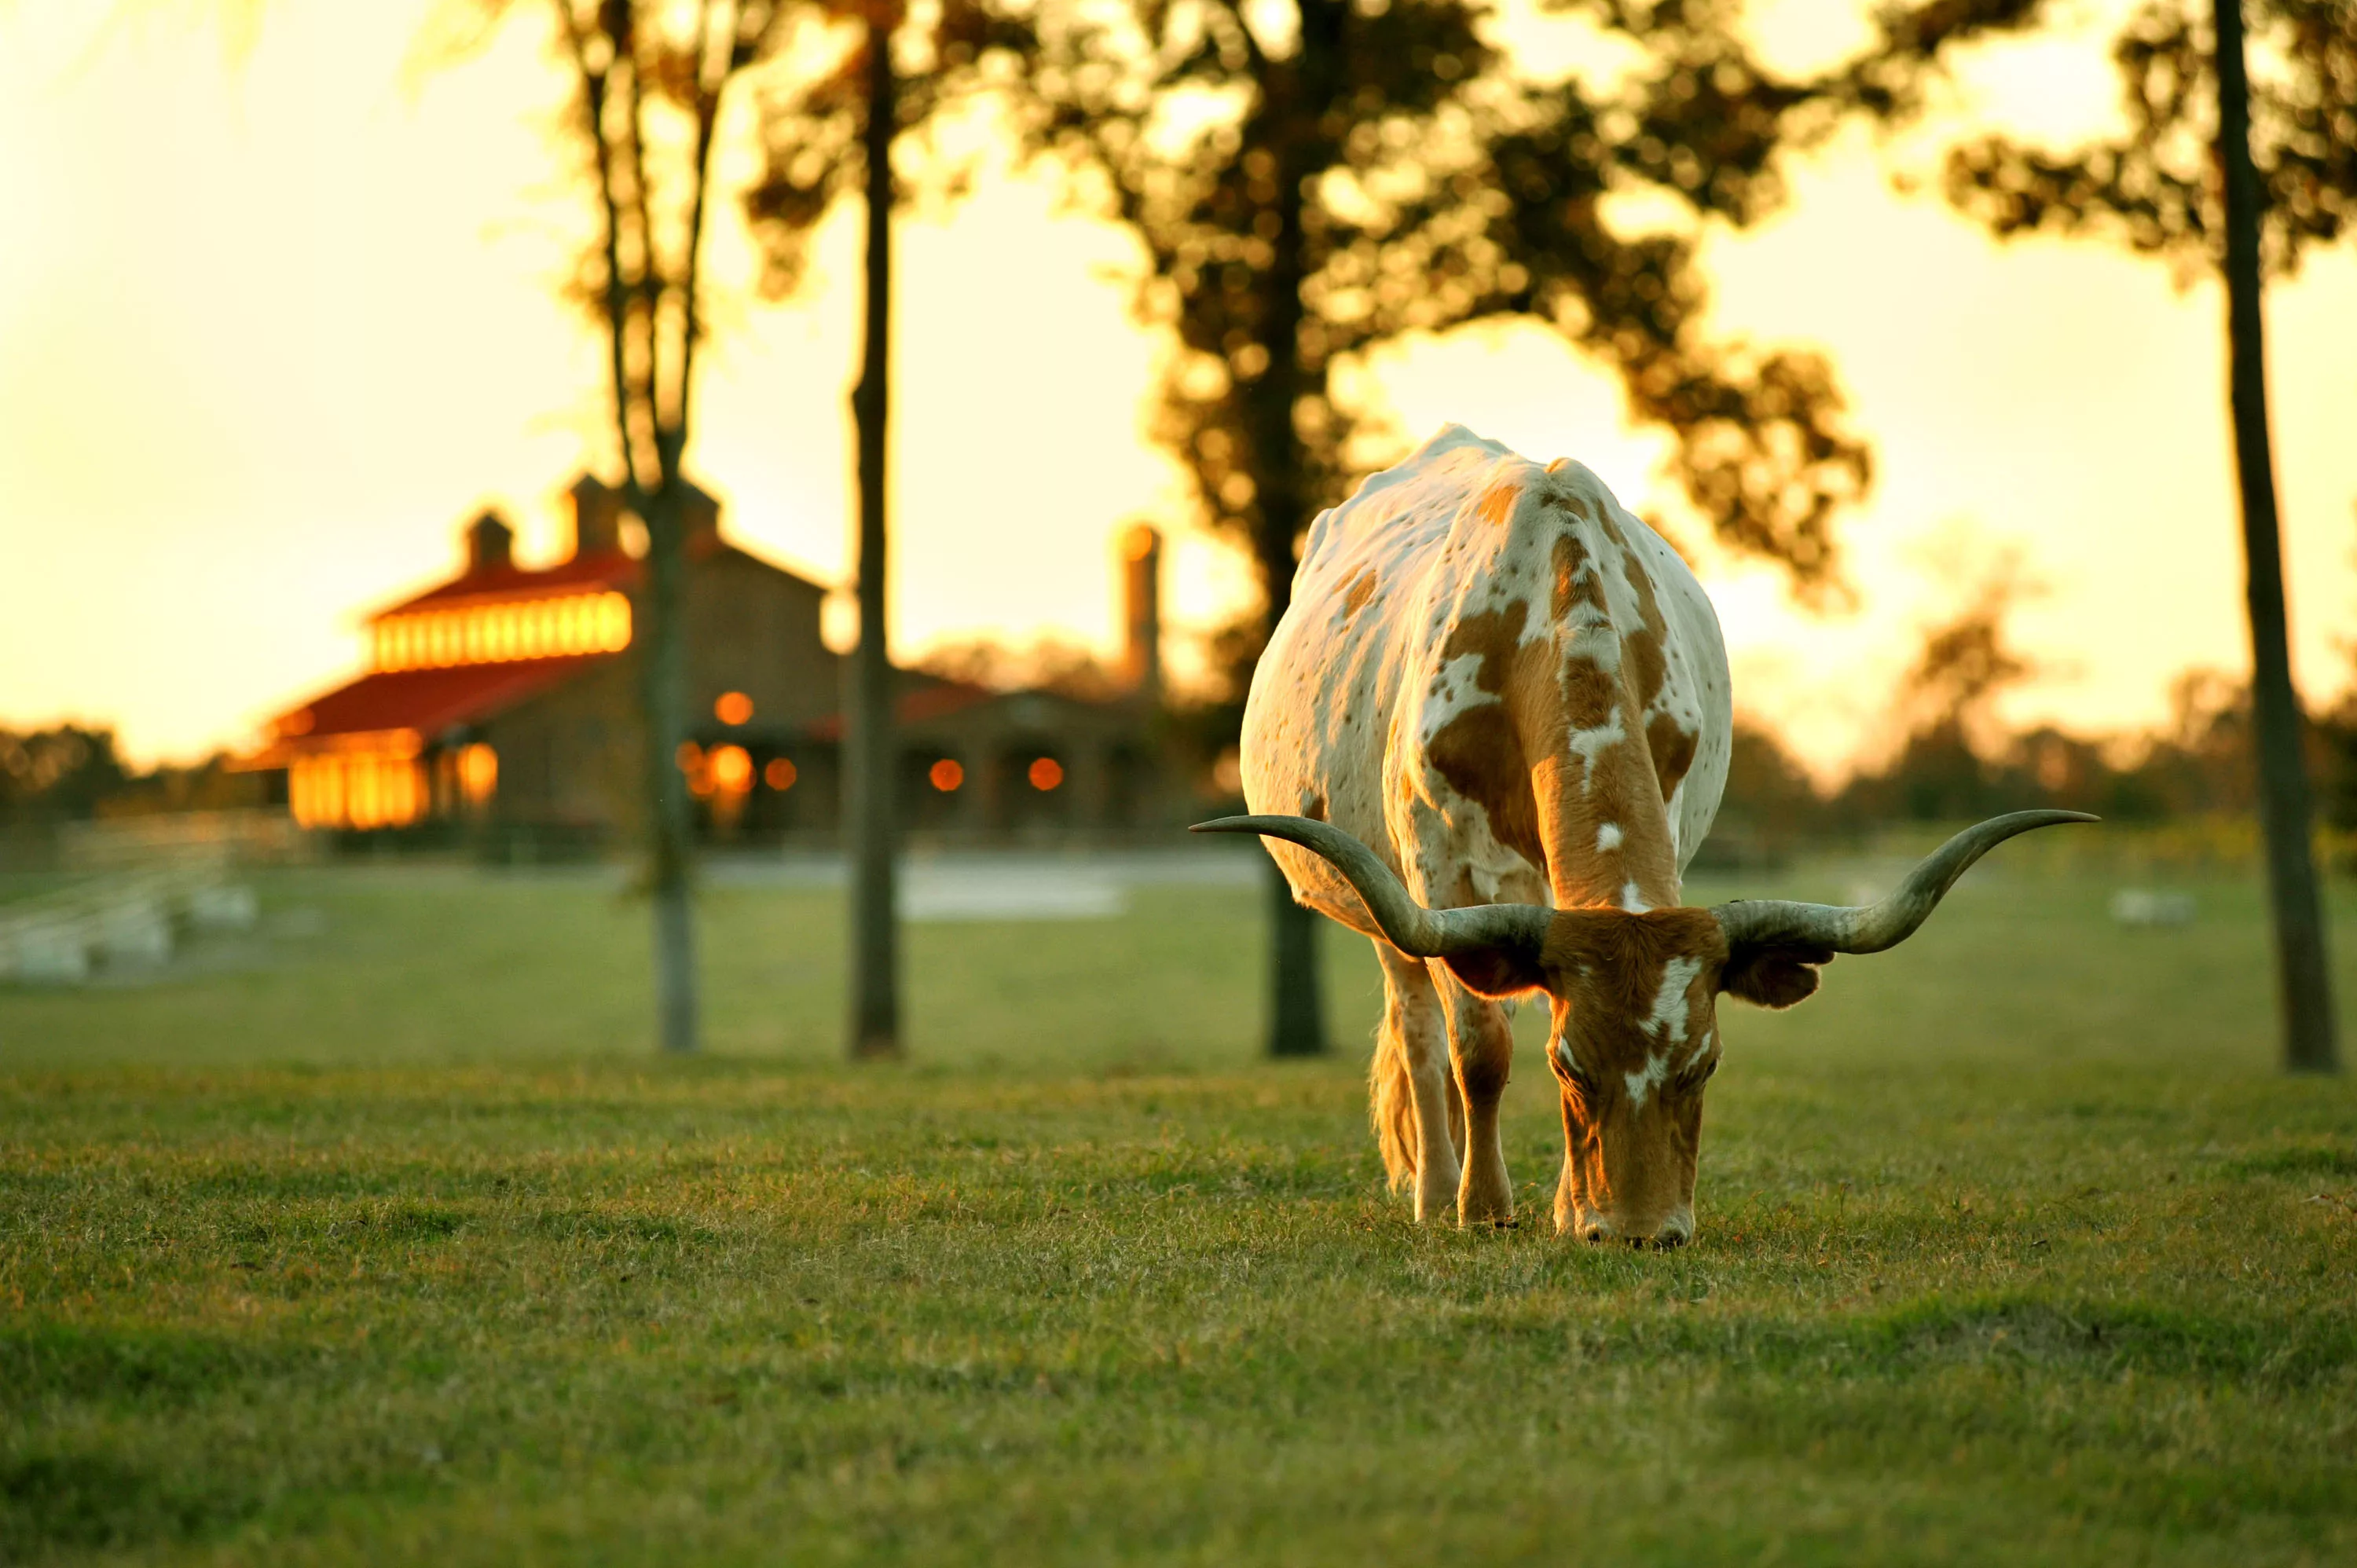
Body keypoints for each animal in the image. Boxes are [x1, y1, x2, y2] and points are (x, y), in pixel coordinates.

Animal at [1207, 422, 2093, 1244]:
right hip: (1389, 911)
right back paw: (1438, 1187)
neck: (1547, 619)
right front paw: (1483, 1208)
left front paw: (1567, 1208)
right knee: (1424, 1029)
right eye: (1570, 1066)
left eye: (1705, 1064)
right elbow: (1478, 1050)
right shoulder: (1435, 871)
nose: (1639, 1232)